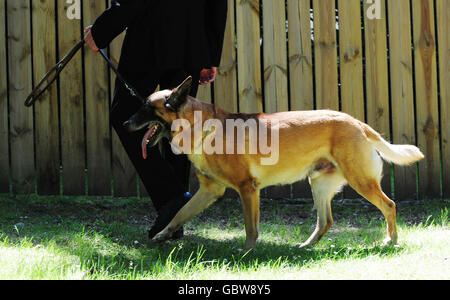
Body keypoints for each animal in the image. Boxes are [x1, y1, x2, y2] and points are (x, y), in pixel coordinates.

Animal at [124, 76, 426, 250]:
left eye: (147, 108)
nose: (125, 124)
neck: (202, 128)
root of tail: (357, 123)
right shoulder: (209, 191)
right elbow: (179, 214)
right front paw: (162, 235)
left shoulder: (247, 188)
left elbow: (250, 227)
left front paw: (246, 252)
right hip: (319, 184)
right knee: (325, 221)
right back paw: (305, 246)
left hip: (360, 180)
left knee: (389, 205)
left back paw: (391, 241)